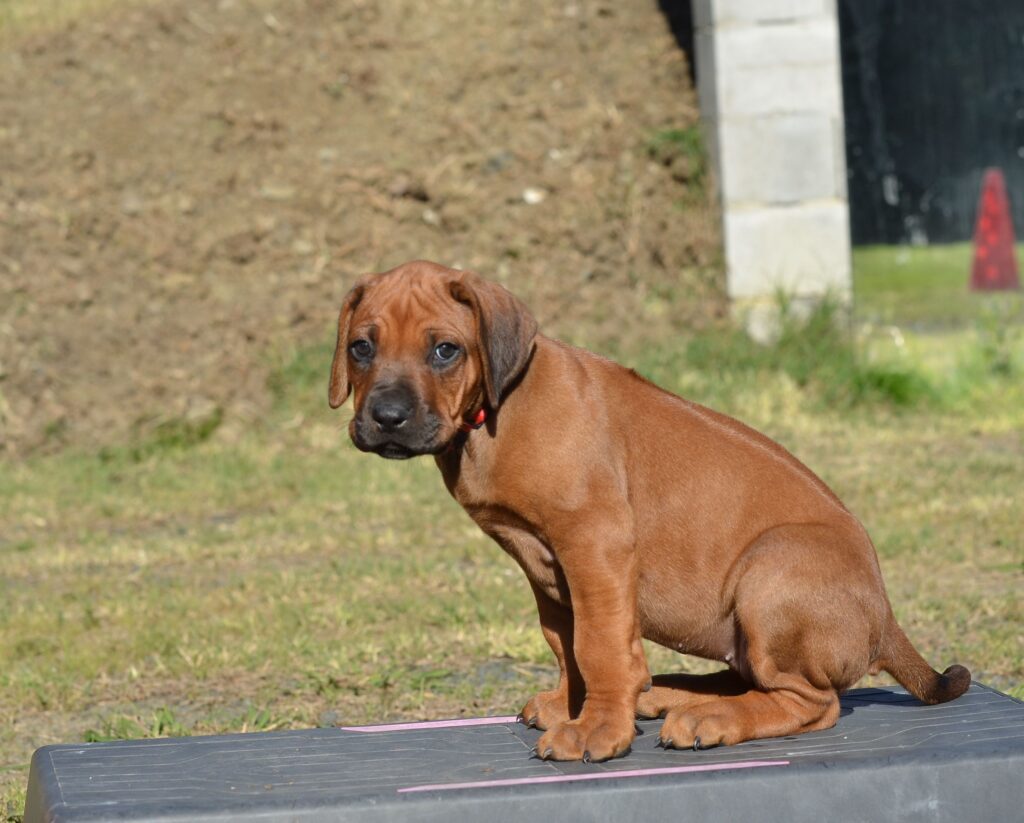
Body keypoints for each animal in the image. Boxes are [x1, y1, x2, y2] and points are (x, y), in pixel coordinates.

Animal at [327, 260, 966, 761]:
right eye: (361, 346)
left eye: (444, 350)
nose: (386, 418)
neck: (497, 409)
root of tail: (884, 617)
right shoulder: (545, 566)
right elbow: (564, 641)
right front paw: (574, 706)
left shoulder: (594, 542)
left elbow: (599, 644)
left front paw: (597, 728)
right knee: (745, 675)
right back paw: (669, 695)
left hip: (771, 571)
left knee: (812, 701)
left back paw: (712, 717)